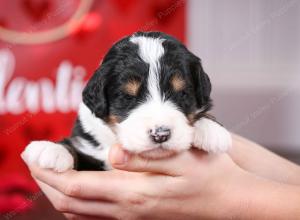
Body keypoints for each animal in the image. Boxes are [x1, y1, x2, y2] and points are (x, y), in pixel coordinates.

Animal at [21, 31, 232, 172]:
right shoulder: (90, 148)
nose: (160, 134)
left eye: (182, 94)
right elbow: (74, 147)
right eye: (128, 97)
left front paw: (212, 130)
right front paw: (52, 149)